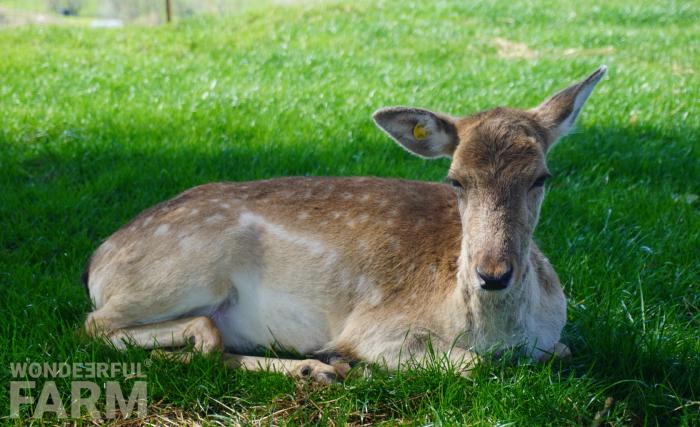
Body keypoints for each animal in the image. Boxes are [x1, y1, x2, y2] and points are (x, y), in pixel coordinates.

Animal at [82, 67, 608, 384]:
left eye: (541, 177)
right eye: (455, 179)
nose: (493, 274)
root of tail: (97, 261)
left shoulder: (552, 336)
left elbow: (561, 351)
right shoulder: (378, 328)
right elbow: (474, 367)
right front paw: (347, 359)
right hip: (181, 274)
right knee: (97, 325)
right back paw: (322, 367)